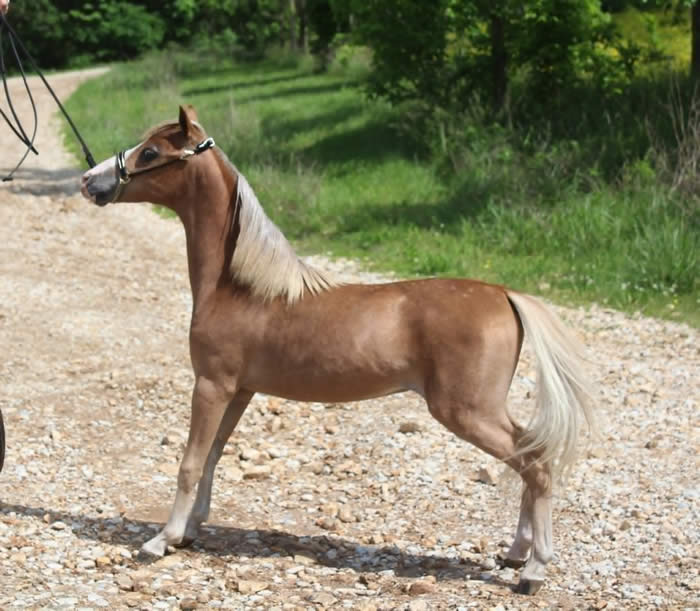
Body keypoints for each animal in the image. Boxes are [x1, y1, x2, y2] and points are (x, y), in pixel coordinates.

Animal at [80, 105, 595, 594]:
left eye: (150, 152)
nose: (90, 181)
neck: (239, 287)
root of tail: (504, 294)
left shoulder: (212, 386)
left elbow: (189, 463)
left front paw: (161, 540)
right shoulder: (238, 391)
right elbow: (212, 457)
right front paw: (188, 532)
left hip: (468, 412)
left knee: (537, 466)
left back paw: (534, 571)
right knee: (533, 457)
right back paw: (515, 555)